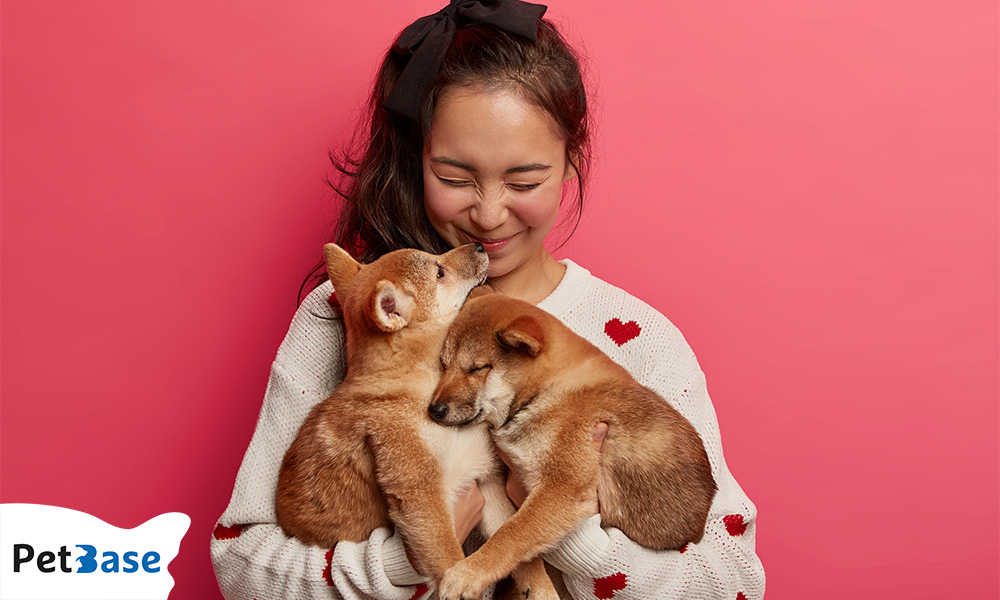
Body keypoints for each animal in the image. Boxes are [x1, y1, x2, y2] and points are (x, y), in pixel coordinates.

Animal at [280, 241, 556, 596]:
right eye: (439, 272)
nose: (479, 245)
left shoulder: (486, 481)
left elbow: (511, 548)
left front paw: (540, 587)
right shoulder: (421, 496)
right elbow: (449, 557)